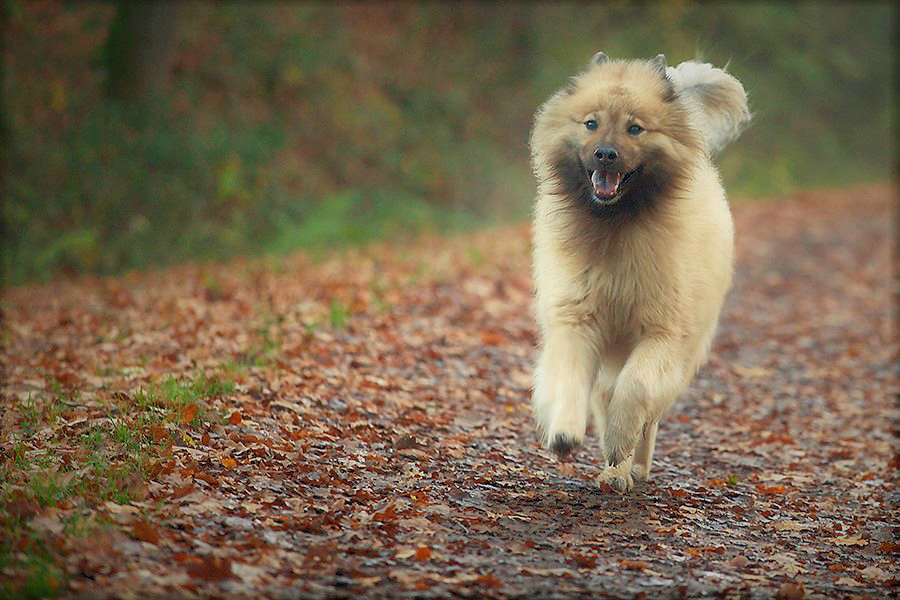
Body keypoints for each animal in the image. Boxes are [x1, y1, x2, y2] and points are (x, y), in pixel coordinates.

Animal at [532, 52, 748, 492]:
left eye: (635, 128)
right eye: (591, 123)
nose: (605, 154)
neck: (616, 225)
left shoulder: (662, 334)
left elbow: (634, 390)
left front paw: (620, 442)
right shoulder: (576, 320)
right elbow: (569, 379)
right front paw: (564, 433)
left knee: (645, 411)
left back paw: (632, 467)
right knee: (602, 395)